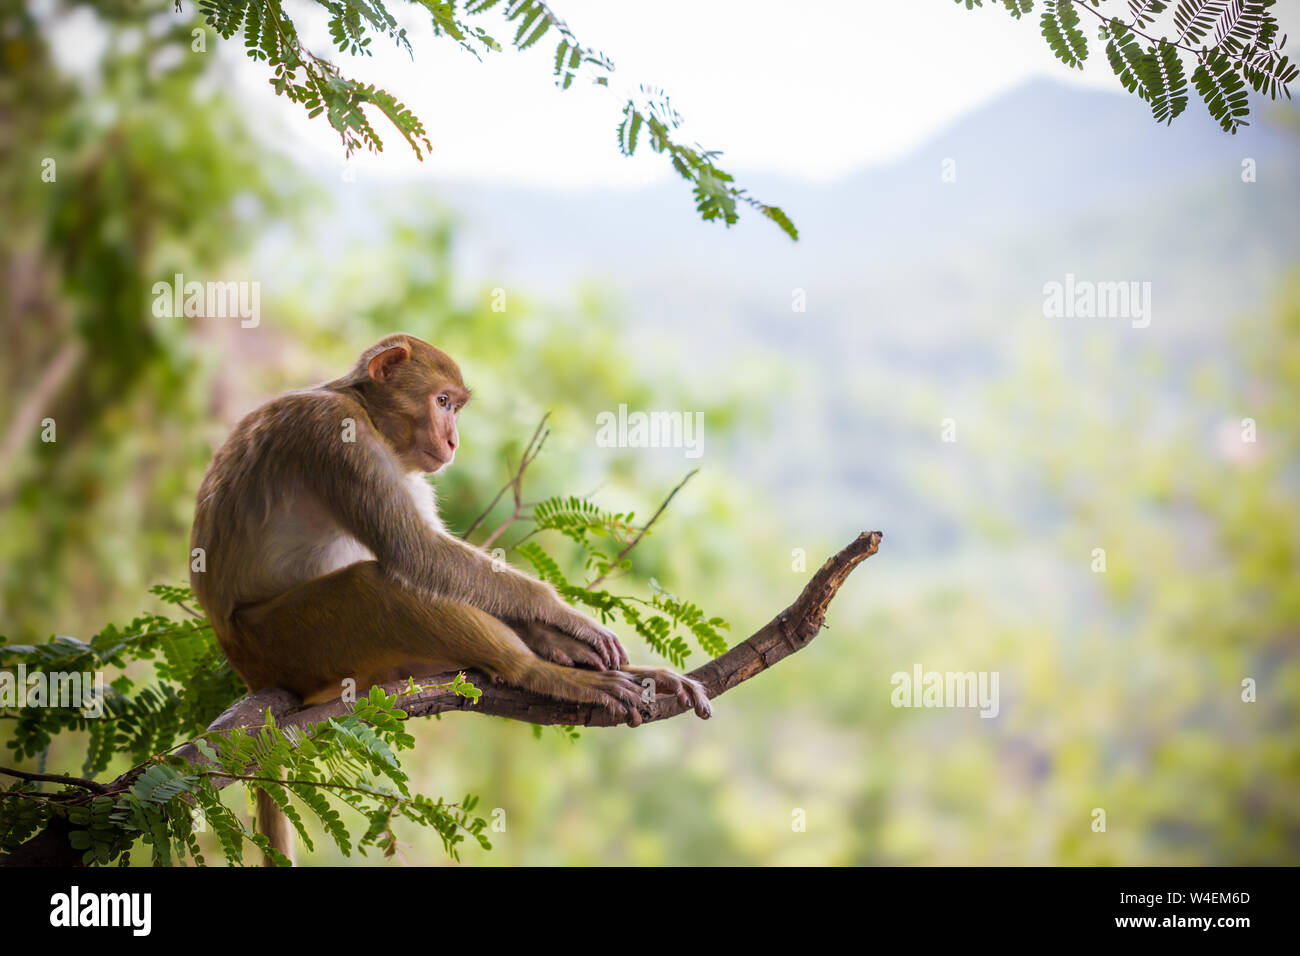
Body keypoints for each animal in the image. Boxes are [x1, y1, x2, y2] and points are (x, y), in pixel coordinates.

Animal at [190, 334, 711, 860]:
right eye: (442, 402)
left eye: (455, 407)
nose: (453, 440)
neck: (366, 412)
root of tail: (246, 667)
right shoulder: (337, 435)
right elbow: (417, 553)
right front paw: (562, 614)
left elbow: (441, 569)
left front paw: (560, 638)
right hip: (285, 641)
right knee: (373, 587)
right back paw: (539, 673)